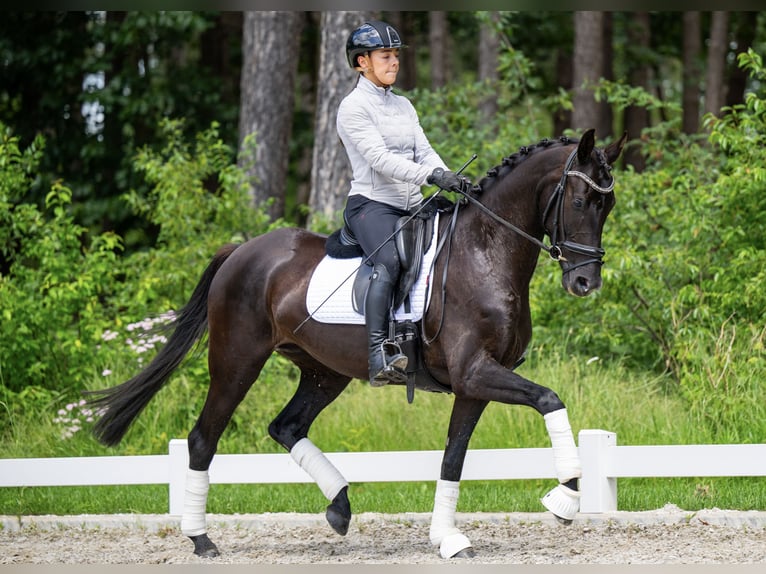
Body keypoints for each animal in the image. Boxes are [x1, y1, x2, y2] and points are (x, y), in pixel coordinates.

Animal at [87, 128, 626, 560]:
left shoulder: (474, 383)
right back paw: (201, 539)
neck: (484, 252)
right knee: (204, 438)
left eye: (609, 205)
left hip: (324, 372)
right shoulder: (475, 371)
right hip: (237, 361)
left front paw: (447, 538)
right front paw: (565, 498)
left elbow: (453, 458)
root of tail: (241, 251)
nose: (585, 283)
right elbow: (549, 399)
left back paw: (340, 508)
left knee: (286, 426)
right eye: (580, 202)